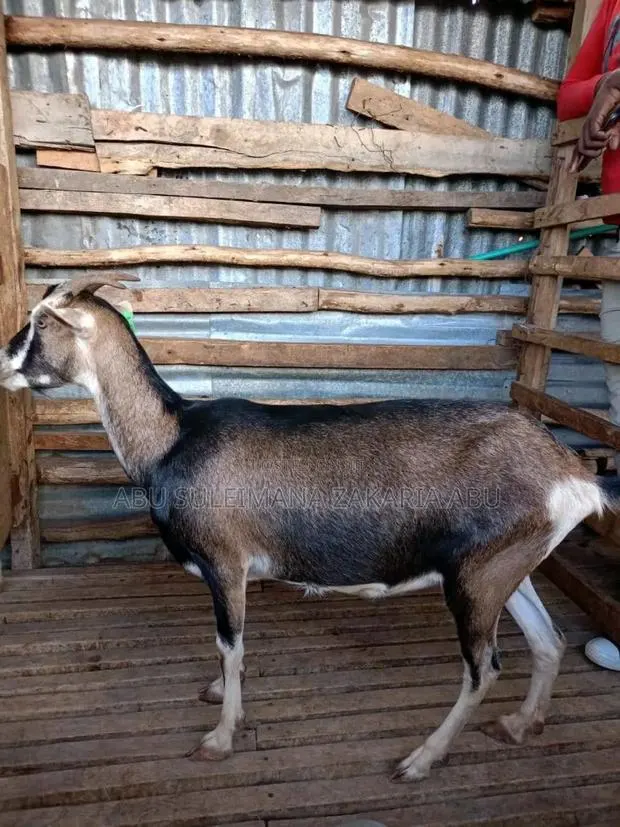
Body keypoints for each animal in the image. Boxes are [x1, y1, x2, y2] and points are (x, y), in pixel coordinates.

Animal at [1, 274, 617, 781]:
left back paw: (421, 759)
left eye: (41, 321)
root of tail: (570, 472)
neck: (172, 438)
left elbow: (229, 644)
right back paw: (520, 725)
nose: (4, 360)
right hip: (507, 567)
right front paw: (220, 695)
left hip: (474, 580)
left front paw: (220, 737)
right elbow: (230, 648)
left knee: (483, 669)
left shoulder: (225, 562)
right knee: (549, 642)